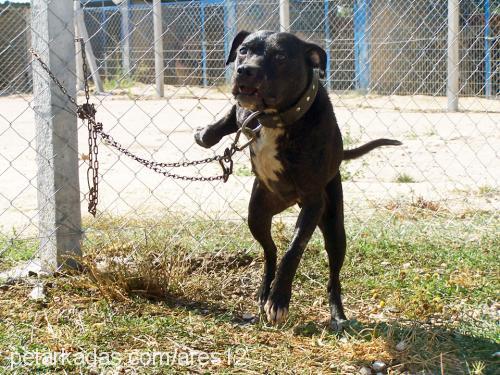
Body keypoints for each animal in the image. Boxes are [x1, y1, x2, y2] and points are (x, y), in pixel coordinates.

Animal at [193, 31, 400, 332]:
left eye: (280, 57)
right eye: (243, 50)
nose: (245, 70)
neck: (274, 117)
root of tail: (288, 201)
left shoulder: (313, 203)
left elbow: (294, 250)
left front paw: (280, 301)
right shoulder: (243, 112)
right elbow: (226, 118)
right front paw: (205, 134)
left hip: (334, 229)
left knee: (332, 277)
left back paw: (337, 314)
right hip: (256, 214)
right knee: (270, 251)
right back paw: (264, 291)